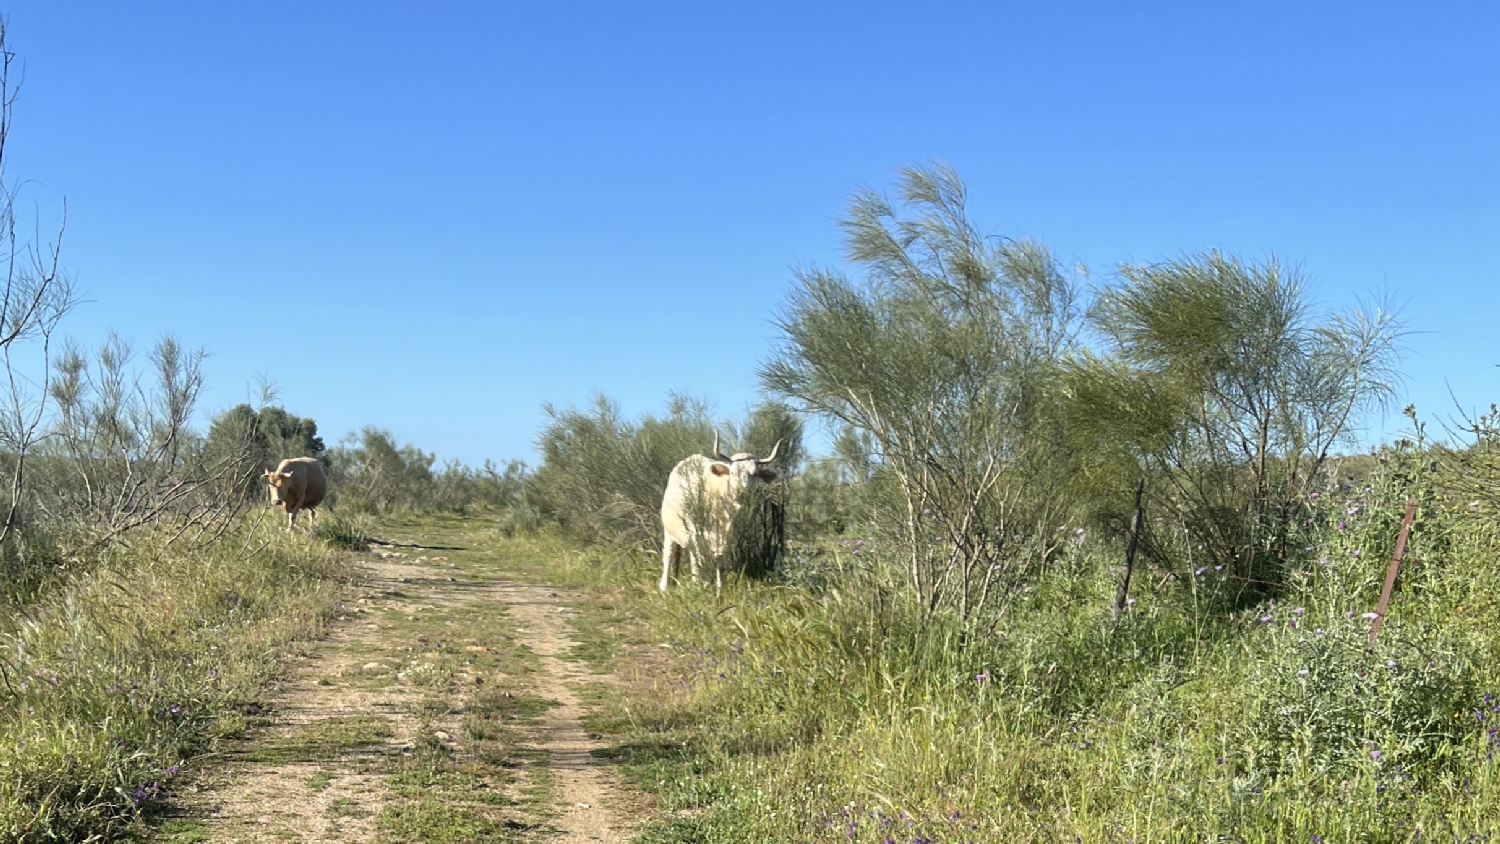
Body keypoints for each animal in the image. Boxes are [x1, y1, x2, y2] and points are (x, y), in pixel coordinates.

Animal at [663, 434, 792, 593]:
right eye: (733, 472)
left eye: (755, 474)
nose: (742, 491)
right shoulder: (695, 531)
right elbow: (699, 560)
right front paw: (700, 586)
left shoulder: (726, 535)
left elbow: (721, 561)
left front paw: (720, 590)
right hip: (671, 530)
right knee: (670, 556)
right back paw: (665, 588)